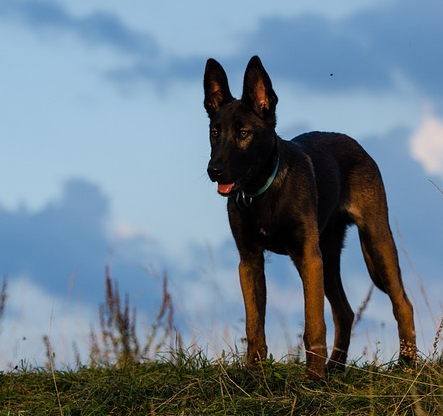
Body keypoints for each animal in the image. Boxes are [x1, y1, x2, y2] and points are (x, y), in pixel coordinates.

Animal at [203, 56, 418, 380]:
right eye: (215, 132)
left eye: (244, 133)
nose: (213, 170)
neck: (263, 191)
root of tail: (358, 146)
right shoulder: (249, 260)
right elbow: (254, 324)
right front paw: (254, 372)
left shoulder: (307, 255)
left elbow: (313, 323)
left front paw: (314, 378)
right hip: (328, 255)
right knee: (345, 312)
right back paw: (336, 367)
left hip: (375, 239)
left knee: (402, 303)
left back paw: (406, 364)